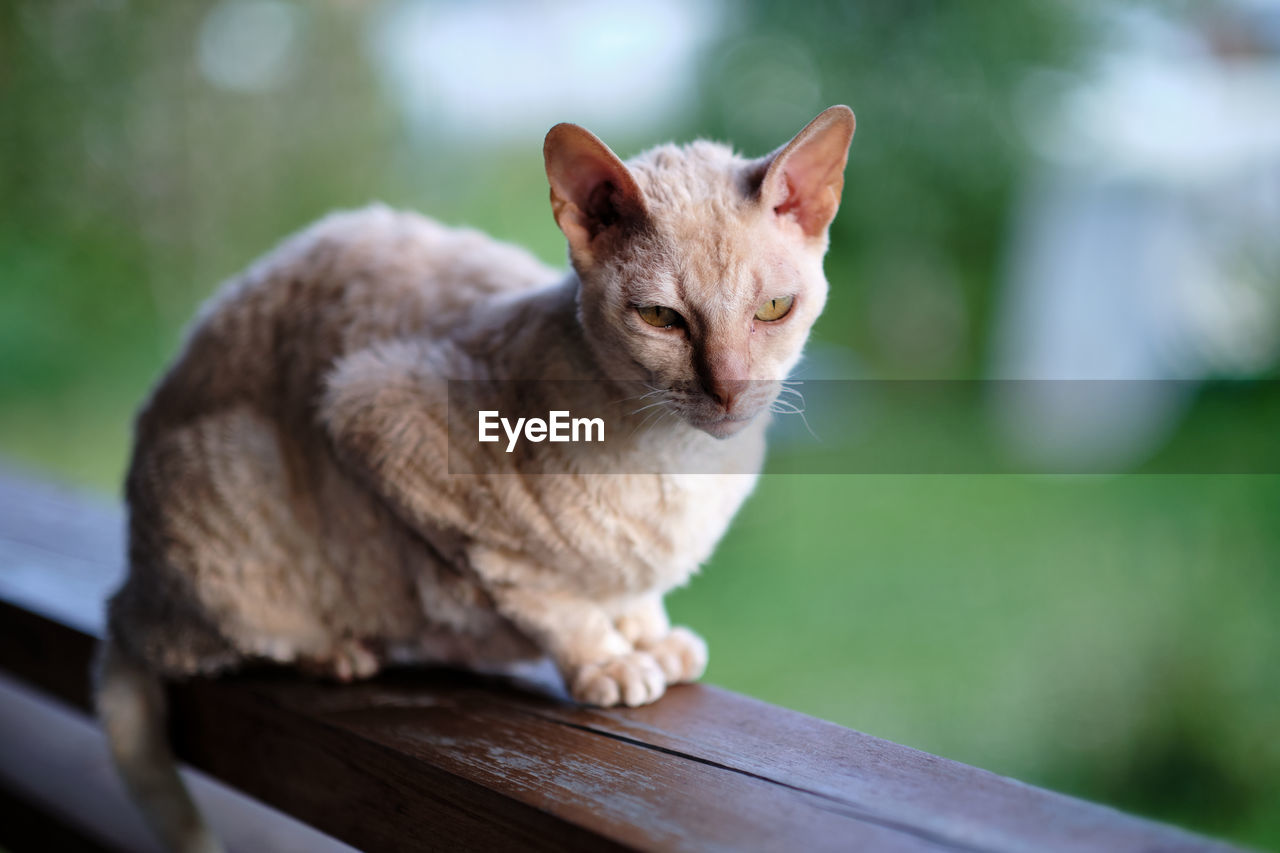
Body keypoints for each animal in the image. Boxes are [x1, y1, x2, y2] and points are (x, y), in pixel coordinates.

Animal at [94, 103, 855, 845]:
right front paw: (610, 659)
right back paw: (338, 652)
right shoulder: (373, 414)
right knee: (196, 641)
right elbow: (544, 593)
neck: (686, 462)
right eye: (662, 318)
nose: (729, 391)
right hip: (231, 485)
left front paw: (649, 635)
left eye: (773, 310)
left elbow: (635, 584)